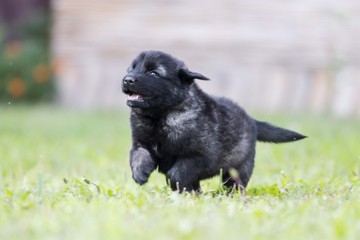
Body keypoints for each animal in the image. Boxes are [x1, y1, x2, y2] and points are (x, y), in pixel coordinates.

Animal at [121, 50, 306, 191]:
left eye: (153, 73)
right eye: (131, 69)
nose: (127, 79)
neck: (160, 116)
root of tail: (251, 120)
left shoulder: (200, 156)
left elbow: (177, 173)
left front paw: (178, 186)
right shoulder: (140, 143)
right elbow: (138, 155)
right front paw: (140, 173)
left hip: (238, 168)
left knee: (235, 185)